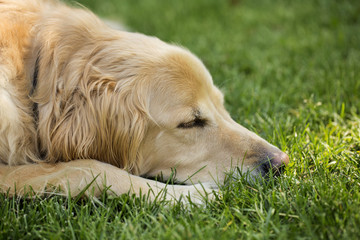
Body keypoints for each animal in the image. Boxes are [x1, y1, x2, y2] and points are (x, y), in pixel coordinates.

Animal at [0, 0, 288, 202]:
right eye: (191, 123)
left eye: (222, 107)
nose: (280, 163)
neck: (35, 78)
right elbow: (89, 168)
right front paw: (192, 196)